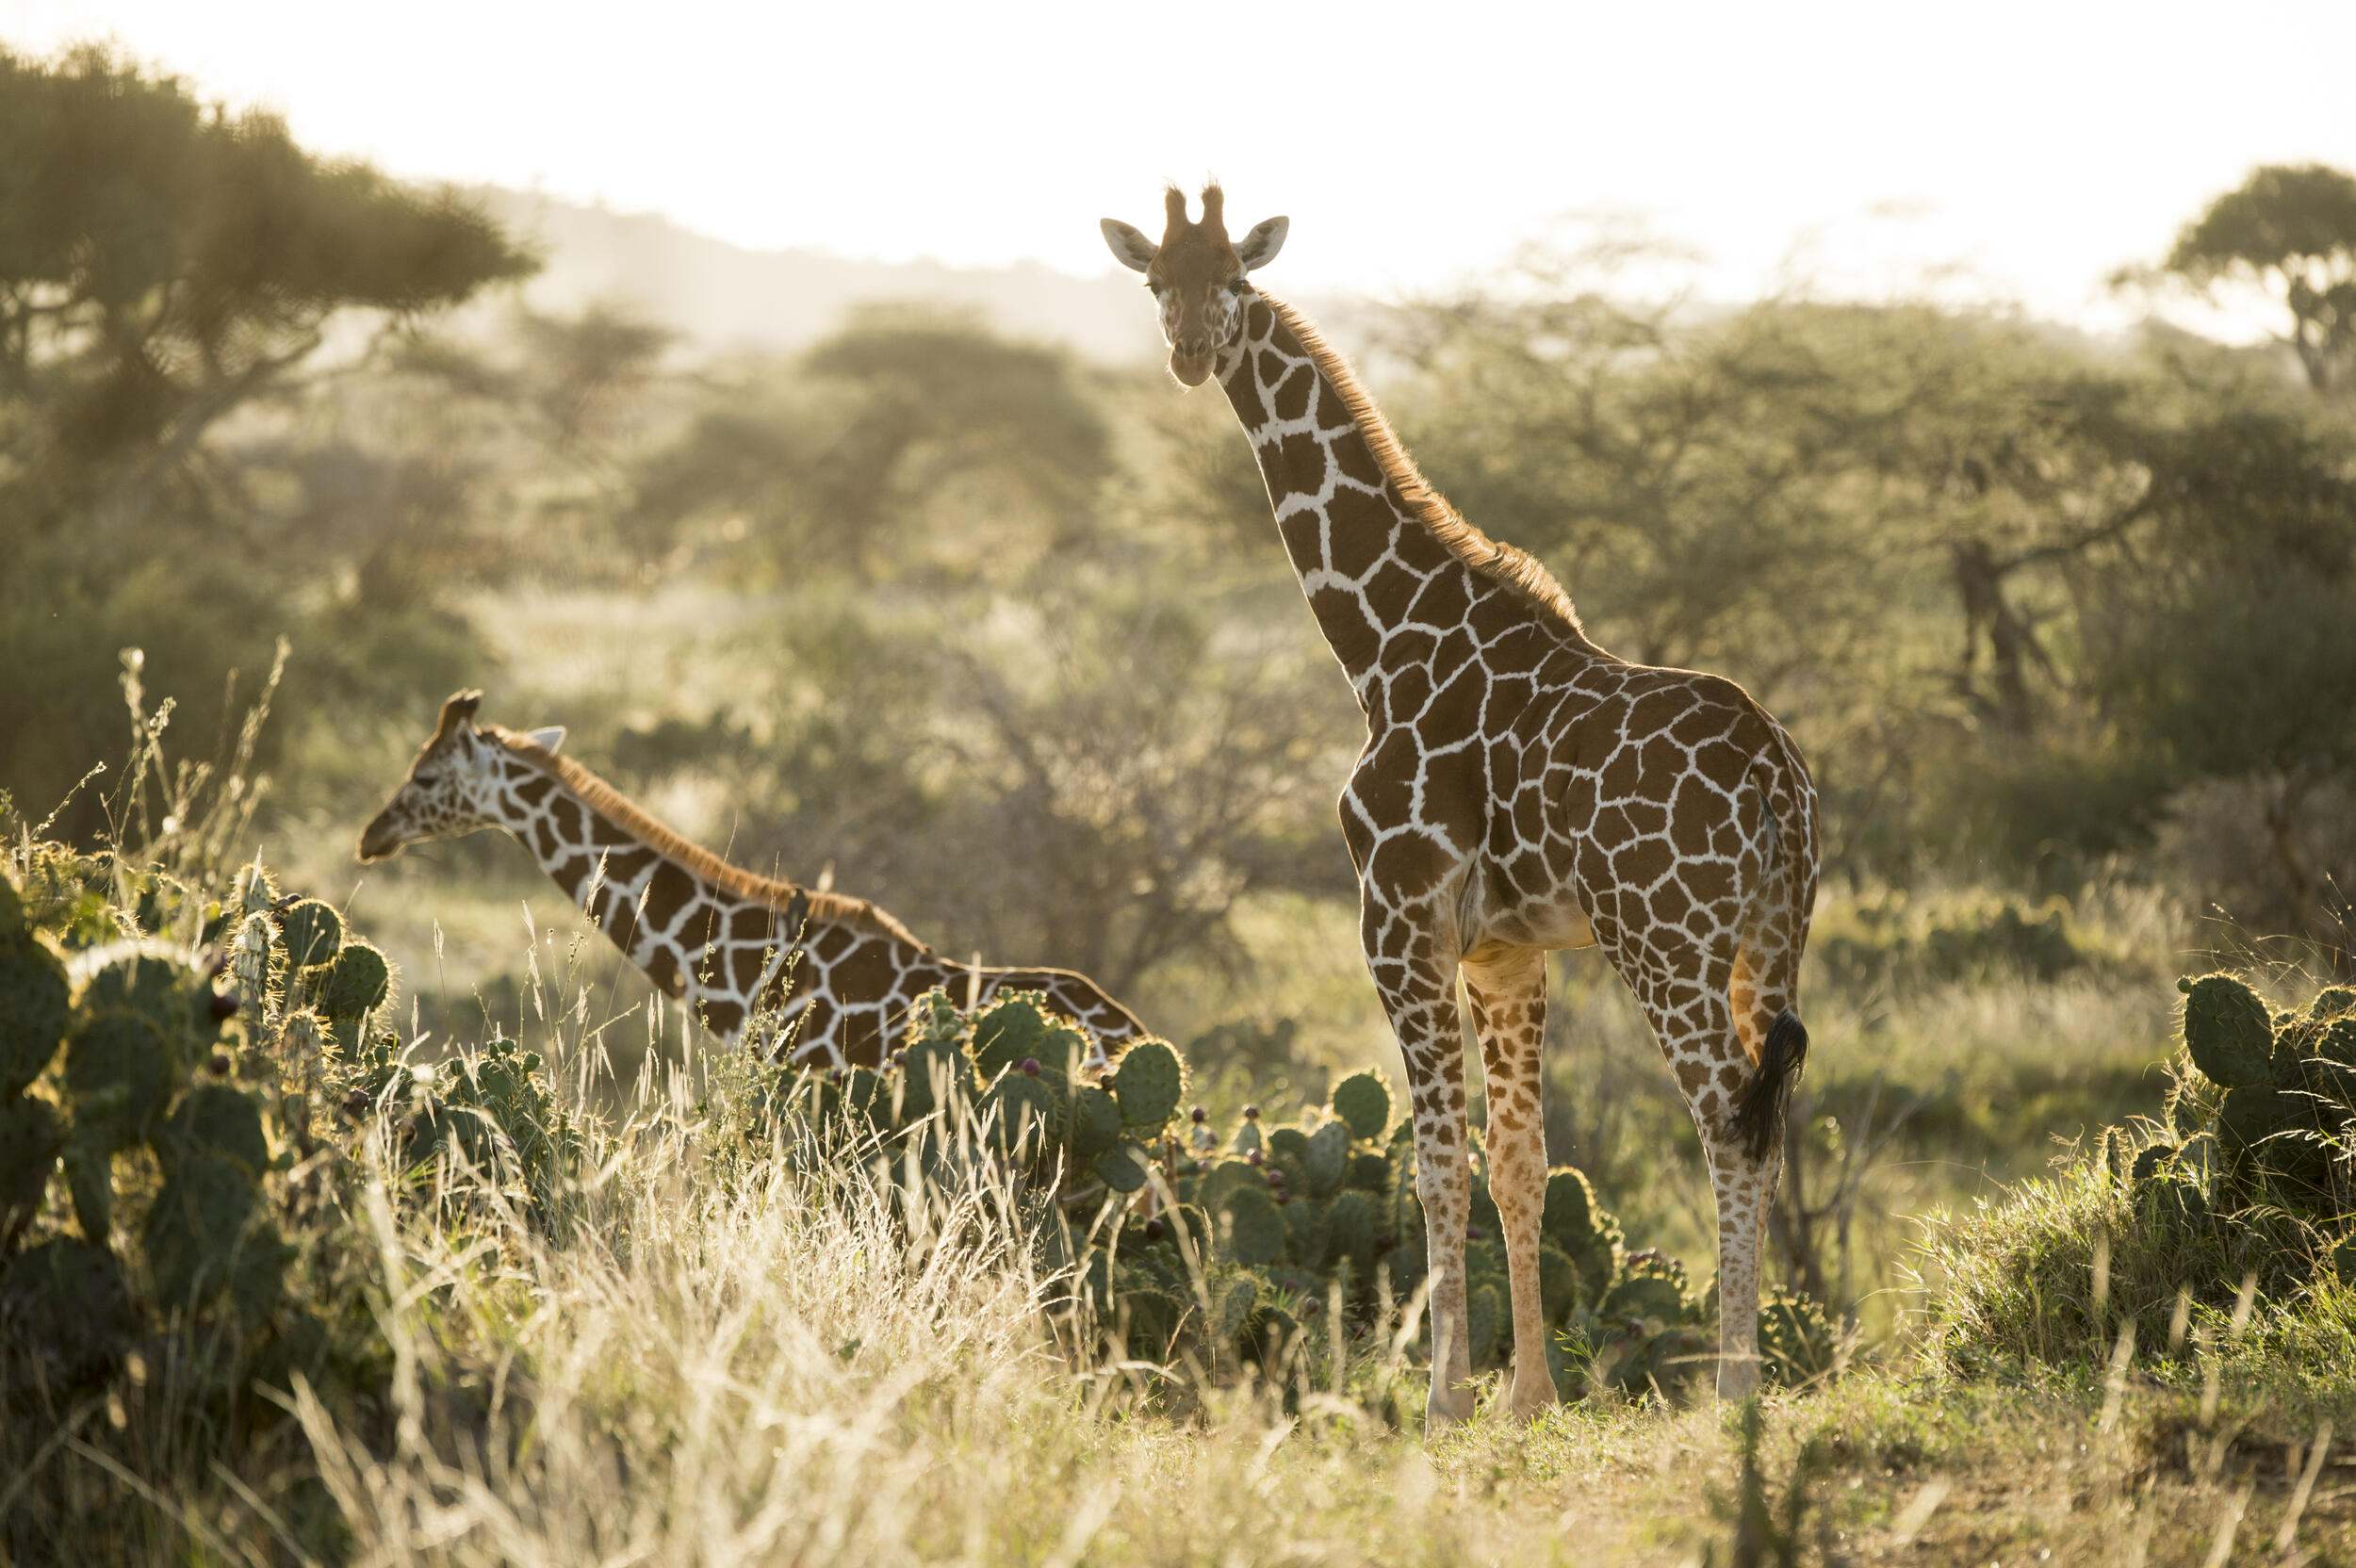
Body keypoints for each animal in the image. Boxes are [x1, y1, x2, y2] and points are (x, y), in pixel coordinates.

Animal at [1103, 189, 1819, 1413]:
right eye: (1158, 282)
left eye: (1234, 282)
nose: (1192, 353)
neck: (1383, 639)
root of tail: (1775, 767)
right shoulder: (1506, 949)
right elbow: (1520, 1159)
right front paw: (1528, 1394)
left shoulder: (1396, 918)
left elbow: (1437, 1159)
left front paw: (1441, 1399)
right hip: (1774, 937)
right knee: (1765, 1121)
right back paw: (1737, 1376)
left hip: (1665, 939)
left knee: (1726, 1118)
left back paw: (1735, 1390)